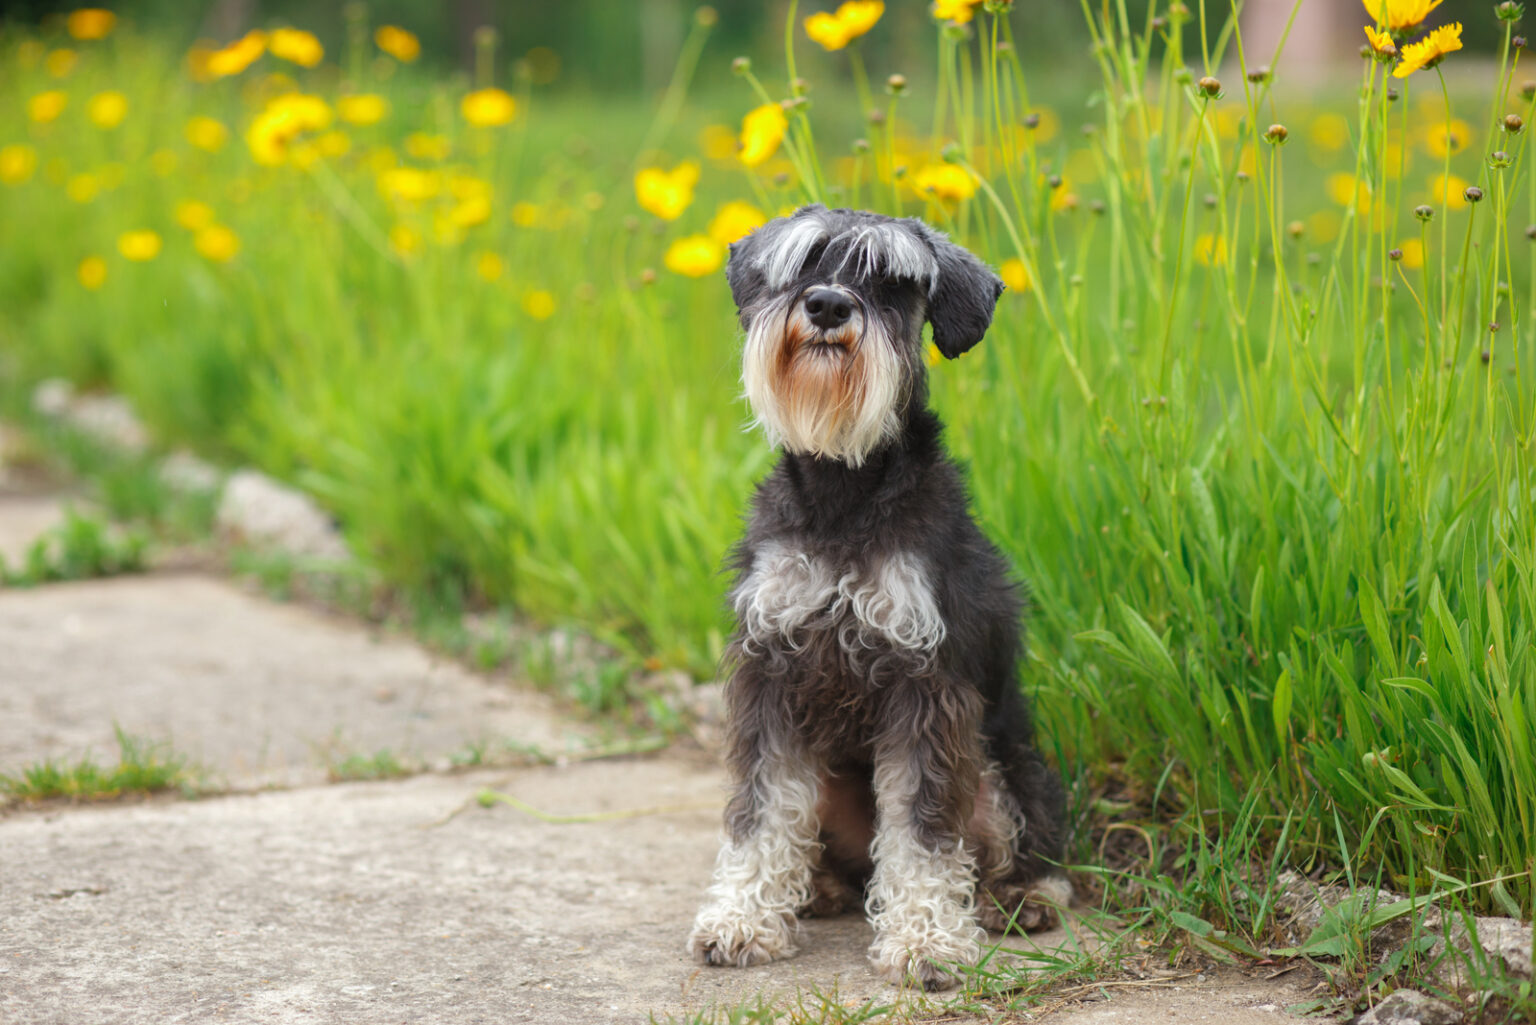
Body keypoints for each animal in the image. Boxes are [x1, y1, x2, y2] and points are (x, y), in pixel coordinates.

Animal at [688, 204, 1069, 989]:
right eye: (804, 262)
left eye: (893, 280)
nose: (829, 306)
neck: (845, 486)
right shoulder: (772, 672)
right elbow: (763, 811)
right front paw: (742, 918)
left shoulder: (926, 687)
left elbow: (924, 829)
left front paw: (926, 941)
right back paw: (819, 889)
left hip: (1000, 768)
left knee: (1018, 844)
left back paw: (1021, 899)